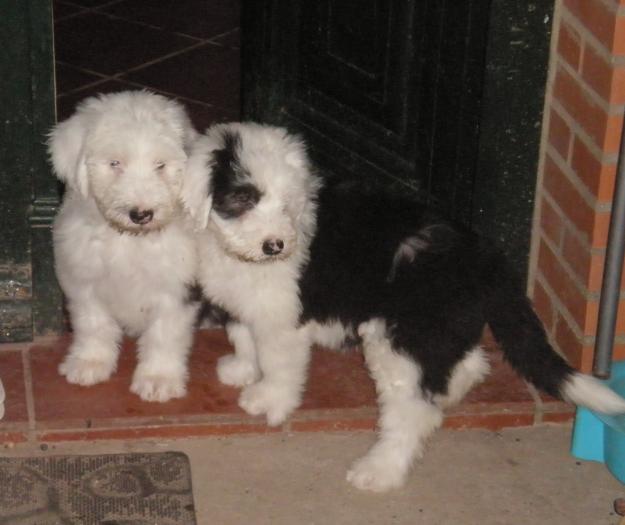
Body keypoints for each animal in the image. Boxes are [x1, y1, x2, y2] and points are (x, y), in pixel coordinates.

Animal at [50, 91, 199, 402]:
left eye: (160, 165)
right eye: (115, 163)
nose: (141, 214)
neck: (129, 241)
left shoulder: (176, 288)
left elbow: (165, 334)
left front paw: (158, 379)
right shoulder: (83, 281)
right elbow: (93, 324)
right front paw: (89, 363)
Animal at [182, 123, 624, 492]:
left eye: (287, 205)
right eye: (243, 198)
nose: (275, 246)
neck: (236, 252)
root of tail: (484, 256)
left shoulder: (282, 319)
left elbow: (277, 364)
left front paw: (269, 401)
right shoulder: (243, 303)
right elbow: (242, 335)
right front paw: (241, 370)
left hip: (400, 339)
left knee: (412, 412)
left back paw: (379, 471)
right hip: (438, 327)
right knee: (470, 365)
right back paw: (448, 395)